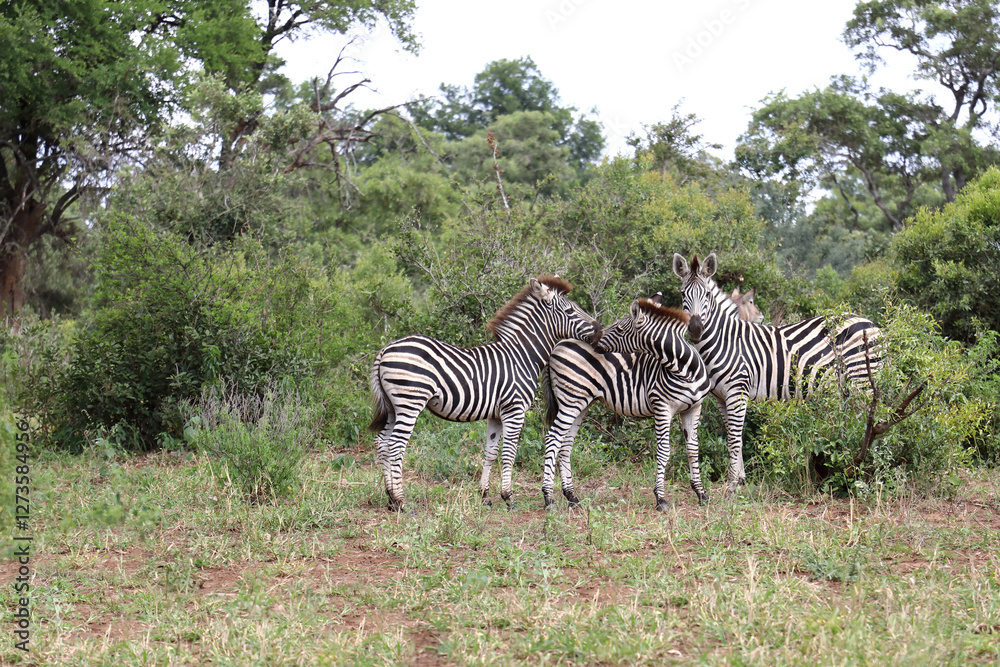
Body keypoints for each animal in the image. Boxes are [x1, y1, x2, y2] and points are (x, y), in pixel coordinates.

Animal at [369, 276, 602, 511]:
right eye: (570, 310)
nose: (600, 329)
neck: (521, 356)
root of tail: (385, 349)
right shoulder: (514, 410)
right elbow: (509, 453)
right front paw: (509, 498)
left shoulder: (495, 415)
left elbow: (490, 453)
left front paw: (485, 497)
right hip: (409, 403)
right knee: (396, 445)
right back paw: (402, 501)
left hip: (393, 407)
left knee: (382, 443)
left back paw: (391, 498)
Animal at [540, 296, 713, 510]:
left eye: (620, 329)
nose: (594, 341)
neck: (685, 370)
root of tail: (558, 343)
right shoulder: (662, 407)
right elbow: (664, 451)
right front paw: (660, 498)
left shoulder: (693, 409)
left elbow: (693, 450)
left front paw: (701, 493)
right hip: (570, 400)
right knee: (553, 438)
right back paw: (549, 498)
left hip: (580, 403)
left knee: (565, 444)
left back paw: (572, 497)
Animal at [673, 252, 881, 491]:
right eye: (682, 294)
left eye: (707, 294)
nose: (696, 329)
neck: (724, 341)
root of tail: (869, 322)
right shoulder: (721, 398)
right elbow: (733, 436)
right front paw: (741, 479)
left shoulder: (738, 391)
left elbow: (734, 437)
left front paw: (733, 484)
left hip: (862, 378)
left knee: (872, 420)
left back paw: (868, 472)